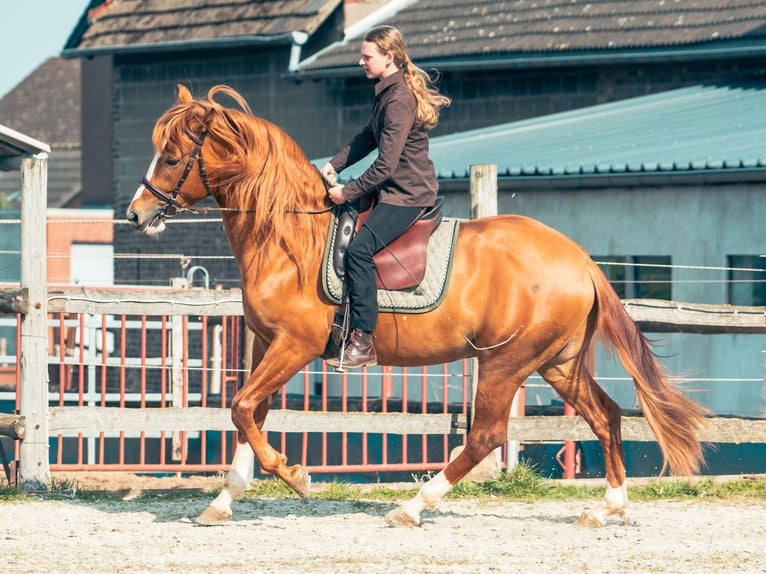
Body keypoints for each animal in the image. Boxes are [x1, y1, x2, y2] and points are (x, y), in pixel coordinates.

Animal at [127, 84, 709, 528]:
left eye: (173, 157)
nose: (136, 215)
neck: (289, 236)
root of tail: (582, 260)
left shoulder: (295, 345)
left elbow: (242, 407)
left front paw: (295, 476)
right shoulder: (267, 343)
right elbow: (251, 412)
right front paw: (225, 499)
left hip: (505, 362)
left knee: (485, 436)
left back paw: (413, 506)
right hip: (558, 364)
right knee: (605, 416)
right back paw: (607, 507)